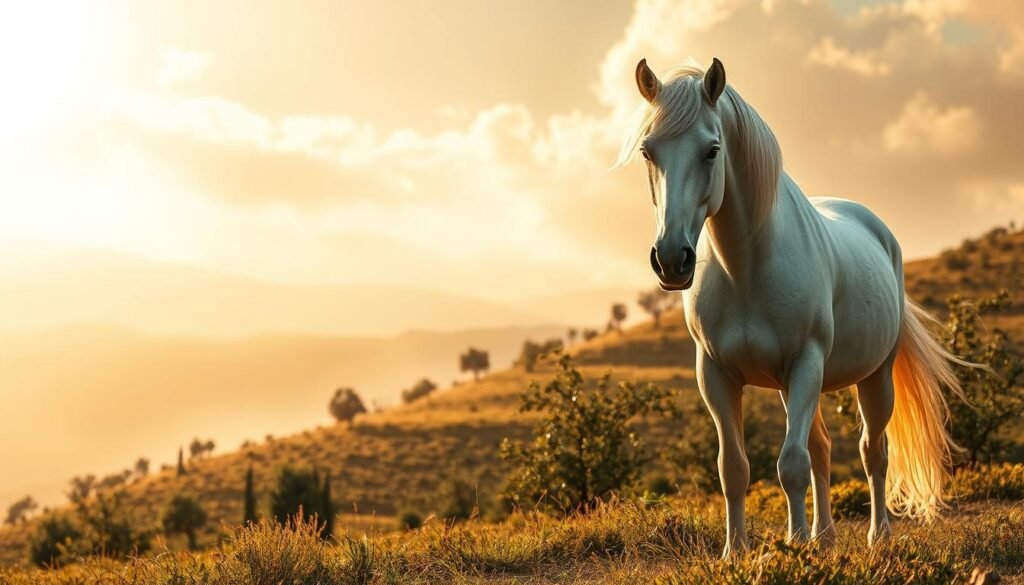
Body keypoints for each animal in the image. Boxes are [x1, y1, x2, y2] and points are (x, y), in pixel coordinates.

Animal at [620, 58, 968, 558]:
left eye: (712, 150)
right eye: (648, 152)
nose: (671, 259)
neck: (746, 269)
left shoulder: (806, 363)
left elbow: (791, 464)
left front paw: (795, 544)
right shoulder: (716, 374)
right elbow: (734, 468)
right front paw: (736, 551)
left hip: (873, 378)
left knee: (872, 452)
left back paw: (876, 535)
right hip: (793, 387)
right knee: (822, 447)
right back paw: (824, 536)